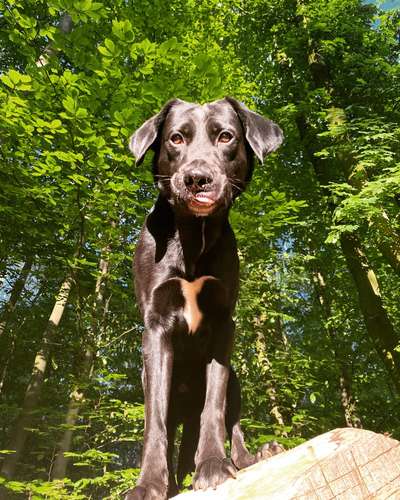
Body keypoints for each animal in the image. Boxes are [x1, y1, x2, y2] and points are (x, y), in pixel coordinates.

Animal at [126, 98, 282, 500]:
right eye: (176, 138)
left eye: (226, 136)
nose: (197, 178)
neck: (193, 237)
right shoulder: (156, 328)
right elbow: (154, 424)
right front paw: (148, 484)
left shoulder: (223, 323)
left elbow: (214, 403)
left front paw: (212, 466)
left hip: (238, 382)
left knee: (233, 425)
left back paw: (253, 456)